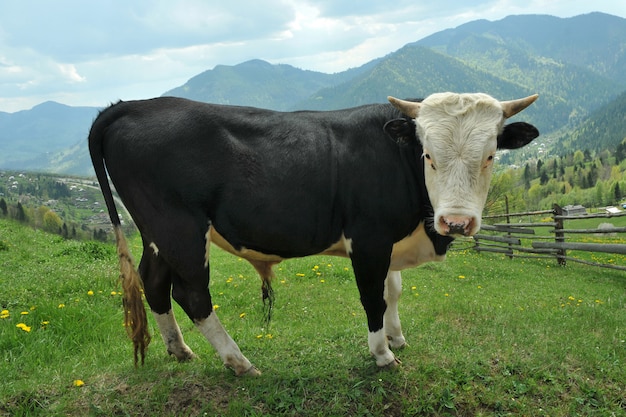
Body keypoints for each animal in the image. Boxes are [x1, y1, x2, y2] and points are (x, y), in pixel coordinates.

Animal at [88, 91, 536, 374]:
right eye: (428, 154)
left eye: (491, 155)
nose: (456, 222)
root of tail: (133, 106)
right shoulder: (368, 238)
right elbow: (373, 296)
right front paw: (382, 355)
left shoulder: (389, 239)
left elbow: (393, 290)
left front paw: (396, 338)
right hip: (179, 228)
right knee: (192, 294)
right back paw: (239, 362)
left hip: (156, 234)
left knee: (154, 281)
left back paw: (179, 350)